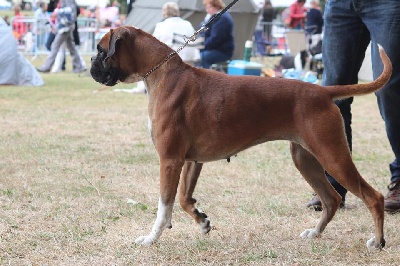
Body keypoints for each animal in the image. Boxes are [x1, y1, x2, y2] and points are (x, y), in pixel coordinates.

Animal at [90, 26, 390, 248]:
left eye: (100, 50)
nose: (92, 66)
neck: (163, 72)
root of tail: (322, 91)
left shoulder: (170, 160)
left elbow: (164, 206)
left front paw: (151, 238)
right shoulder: (191, 161)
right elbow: (185, 198)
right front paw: (202, 221)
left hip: (333, 156)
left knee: (373, 196)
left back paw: (377, 241)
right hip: (307, 160)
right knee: (331, 200)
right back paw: (315, 233)